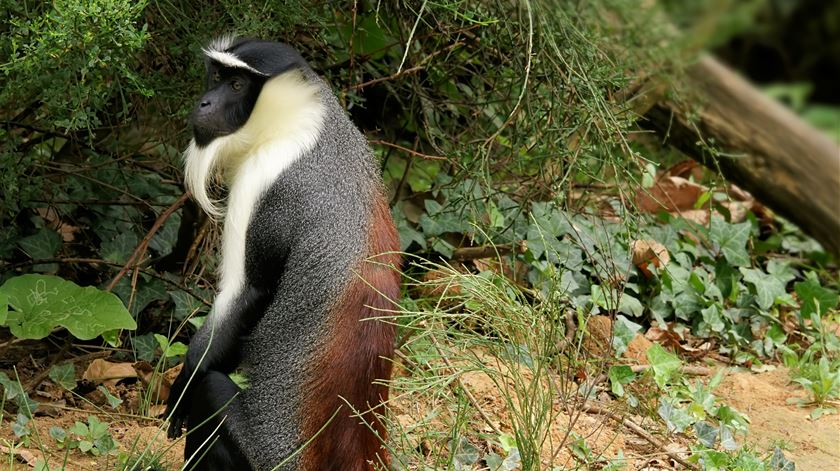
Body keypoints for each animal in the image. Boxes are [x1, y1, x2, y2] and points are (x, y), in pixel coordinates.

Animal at [166, 37, 402, 471]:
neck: (298, 121)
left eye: (238, 85)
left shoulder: (262, 180)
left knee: (211, 392)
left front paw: (184, 384)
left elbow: (248, 293)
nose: (205, 103)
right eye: (217, 75)